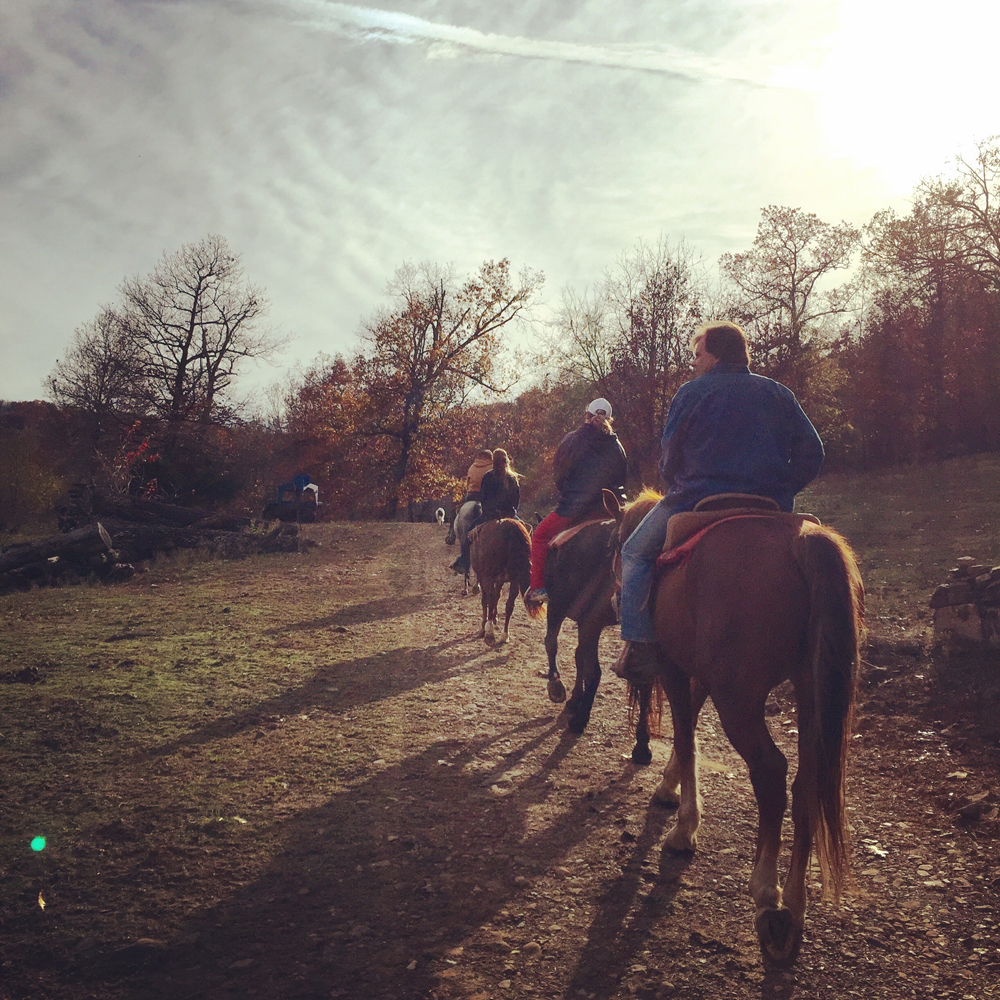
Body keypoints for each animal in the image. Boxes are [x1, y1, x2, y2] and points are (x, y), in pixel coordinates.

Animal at [468, 516, 540, 648]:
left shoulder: (485, 577)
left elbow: (487, 600)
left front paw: (484, 627)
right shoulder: (505, 580)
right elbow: (499, 597)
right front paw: (495, 619)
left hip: (488, 577)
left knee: (490, 599)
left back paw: (489, 634)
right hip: (513, 580)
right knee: (508, 604)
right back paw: (504, 634)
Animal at [600, 488, 868, 964]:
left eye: (616, 545)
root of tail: (801, 541)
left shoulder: (672, 666)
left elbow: (685, 734)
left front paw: (684, 827)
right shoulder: (700, 674)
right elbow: (687, 729)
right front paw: (668, 787)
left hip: (739, 701)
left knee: (771, 773)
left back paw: (767, 897)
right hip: (810, 693)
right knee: (806, 783)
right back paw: (794, 905)